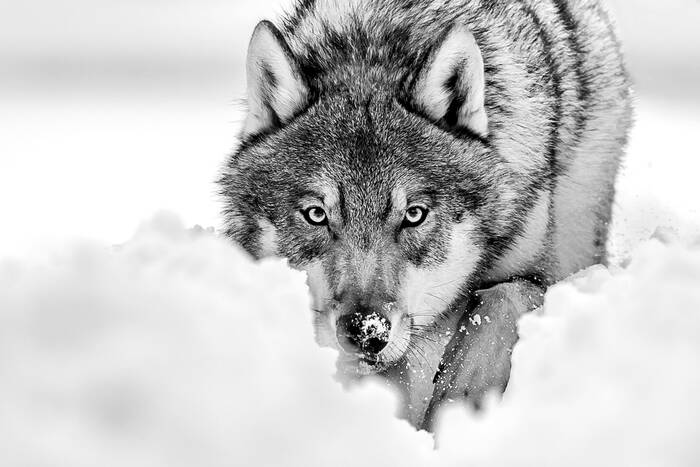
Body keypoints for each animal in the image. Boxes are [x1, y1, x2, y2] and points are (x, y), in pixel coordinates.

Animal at [219, 0, 632, 429]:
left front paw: (459, 401)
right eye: (316, 214)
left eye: (414, 214)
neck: (371, 46)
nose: (365, 332)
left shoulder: (544, 276)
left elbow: (496, 301)